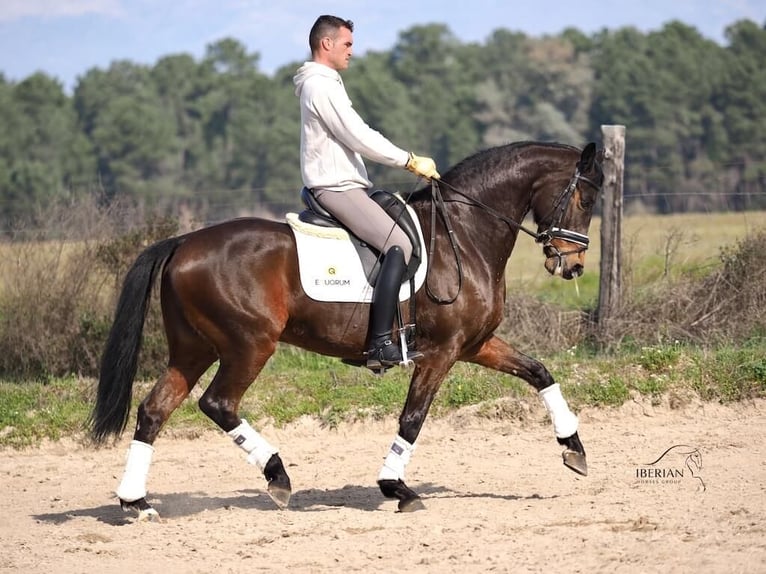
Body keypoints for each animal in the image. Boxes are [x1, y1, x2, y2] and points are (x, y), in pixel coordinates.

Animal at [89, 140, 604, 518]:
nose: (573, 265)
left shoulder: (474, 344)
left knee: (154, 410)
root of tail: (182, 242)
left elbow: (539, 372)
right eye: (585, 197)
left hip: (193, 349)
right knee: (218, 404)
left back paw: (136, 502)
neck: (464, 232)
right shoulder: (442, 352)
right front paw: (396, 487)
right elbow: (412, 419)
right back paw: (277, 476)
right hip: (249, 345)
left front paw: (574, 449)